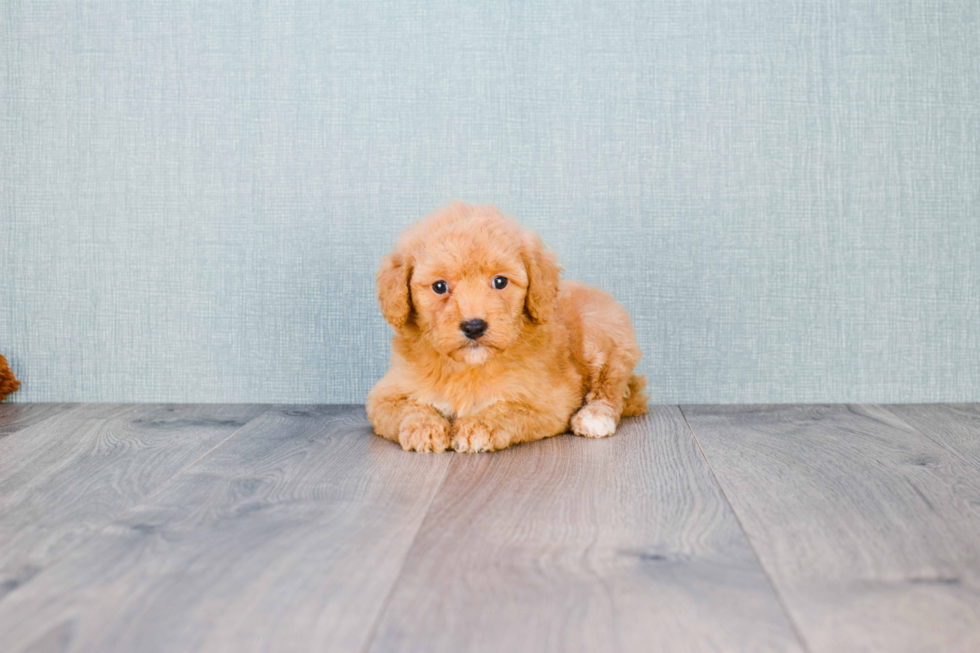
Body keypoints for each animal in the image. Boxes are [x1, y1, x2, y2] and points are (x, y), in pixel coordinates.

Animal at [364, 201, 648, 450]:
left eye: (500, 282)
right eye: (439, 286)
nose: (474, 327)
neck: (469, 367)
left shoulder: (551, 401)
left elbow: (508, 409)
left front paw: (479, 427)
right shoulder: (385, 395)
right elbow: (407, 408)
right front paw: (424, 427)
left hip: (602, 333)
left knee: (615, 386)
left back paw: (595, 416)